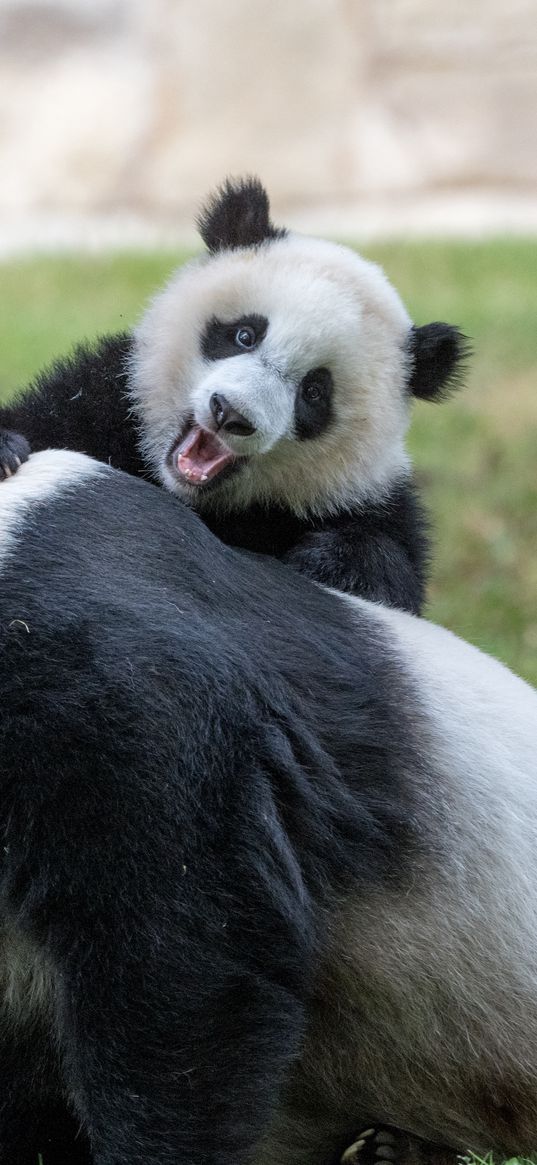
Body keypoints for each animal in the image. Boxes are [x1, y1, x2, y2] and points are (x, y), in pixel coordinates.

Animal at [0, 177, 463, 615]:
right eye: (245, 335)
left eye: (314, 392)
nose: (230, 414)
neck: (195, 497)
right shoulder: (101, 399)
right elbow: (40, 421)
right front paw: (7, 450)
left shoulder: (365, 500)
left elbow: (386, 566)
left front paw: (330, 563)